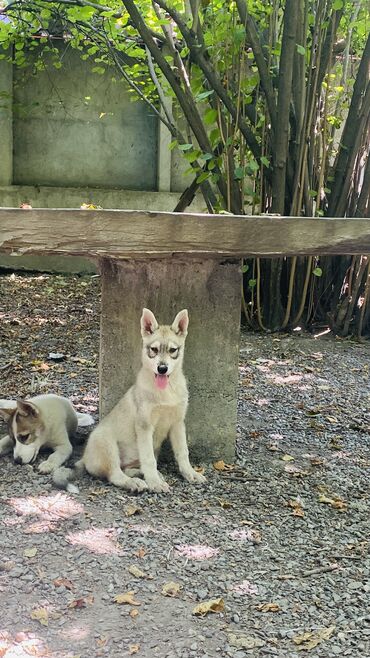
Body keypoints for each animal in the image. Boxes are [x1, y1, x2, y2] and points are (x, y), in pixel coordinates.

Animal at [55, 308, 205, 492]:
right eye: (154, 349)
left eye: (172, 350)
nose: (162, 369)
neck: (165, 392)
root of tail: (85, 458)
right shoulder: (144, 426)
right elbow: (149, 459)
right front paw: (154, 483)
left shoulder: (177, 423)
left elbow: (183, 453)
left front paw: (190, 473)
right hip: (107, 443)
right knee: (115, 474)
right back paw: (135, 482)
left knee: (127, 468)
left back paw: (143, 475)